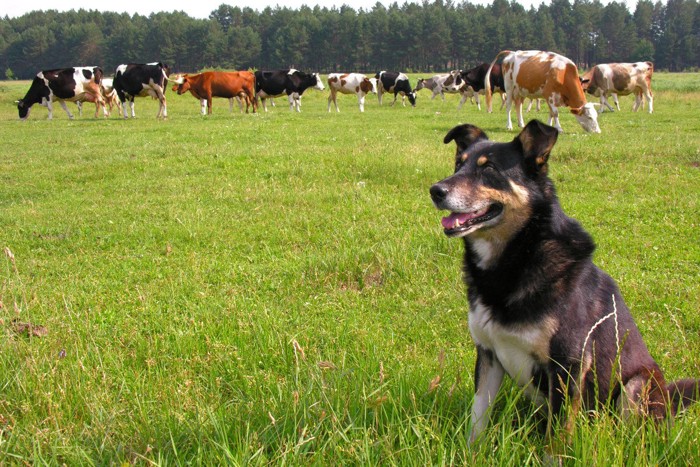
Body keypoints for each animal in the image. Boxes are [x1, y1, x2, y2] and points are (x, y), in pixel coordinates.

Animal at [430, 119, 696, 444]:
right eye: (458, 164)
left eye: (489, 168)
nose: (435, 190)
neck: (519, 256)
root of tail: (670, 402)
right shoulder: (488, 354)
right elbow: (477, 419)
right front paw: (472, 452)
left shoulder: (568, 365)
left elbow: (556, 438)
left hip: (637, 385)